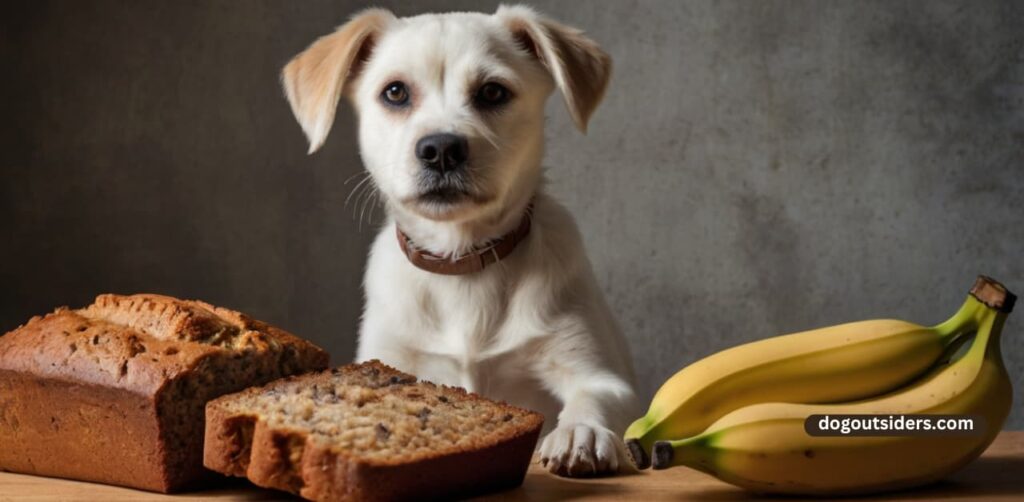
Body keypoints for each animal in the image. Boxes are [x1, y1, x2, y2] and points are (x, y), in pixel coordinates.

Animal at [284, 5, 634, 477]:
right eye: (395, 92)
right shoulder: (393, 356)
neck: (461, 263)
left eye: (492, 92)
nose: (441, 149)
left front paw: (582, 432)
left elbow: (591, 396)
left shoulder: (598, 372)